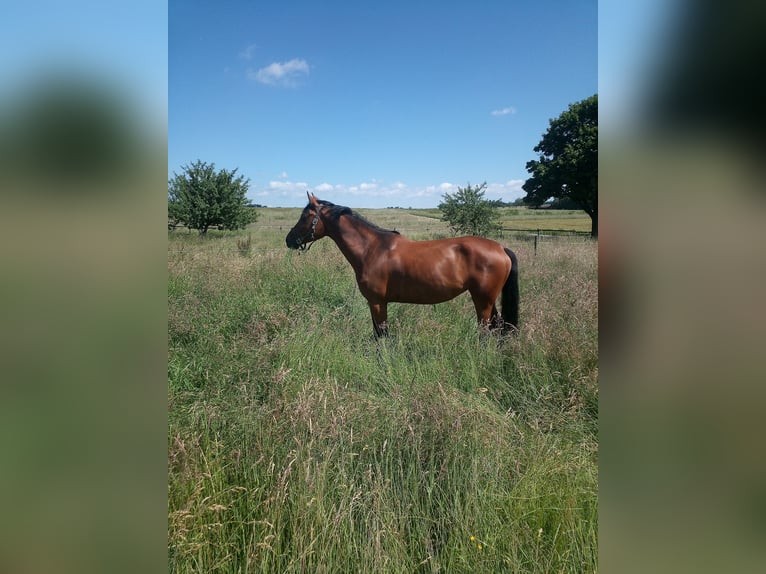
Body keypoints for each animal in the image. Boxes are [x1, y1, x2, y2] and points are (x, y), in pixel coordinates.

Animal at [284, 194, 520, 338]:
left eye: (305, 216)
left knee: (486, 331)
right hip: (487, 300)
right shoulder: (377, 303)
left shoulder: (377, 302)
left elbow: (381, 336)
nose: (289, 239)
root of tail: (501, 248)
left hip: (483, 301)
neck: (372, 248)